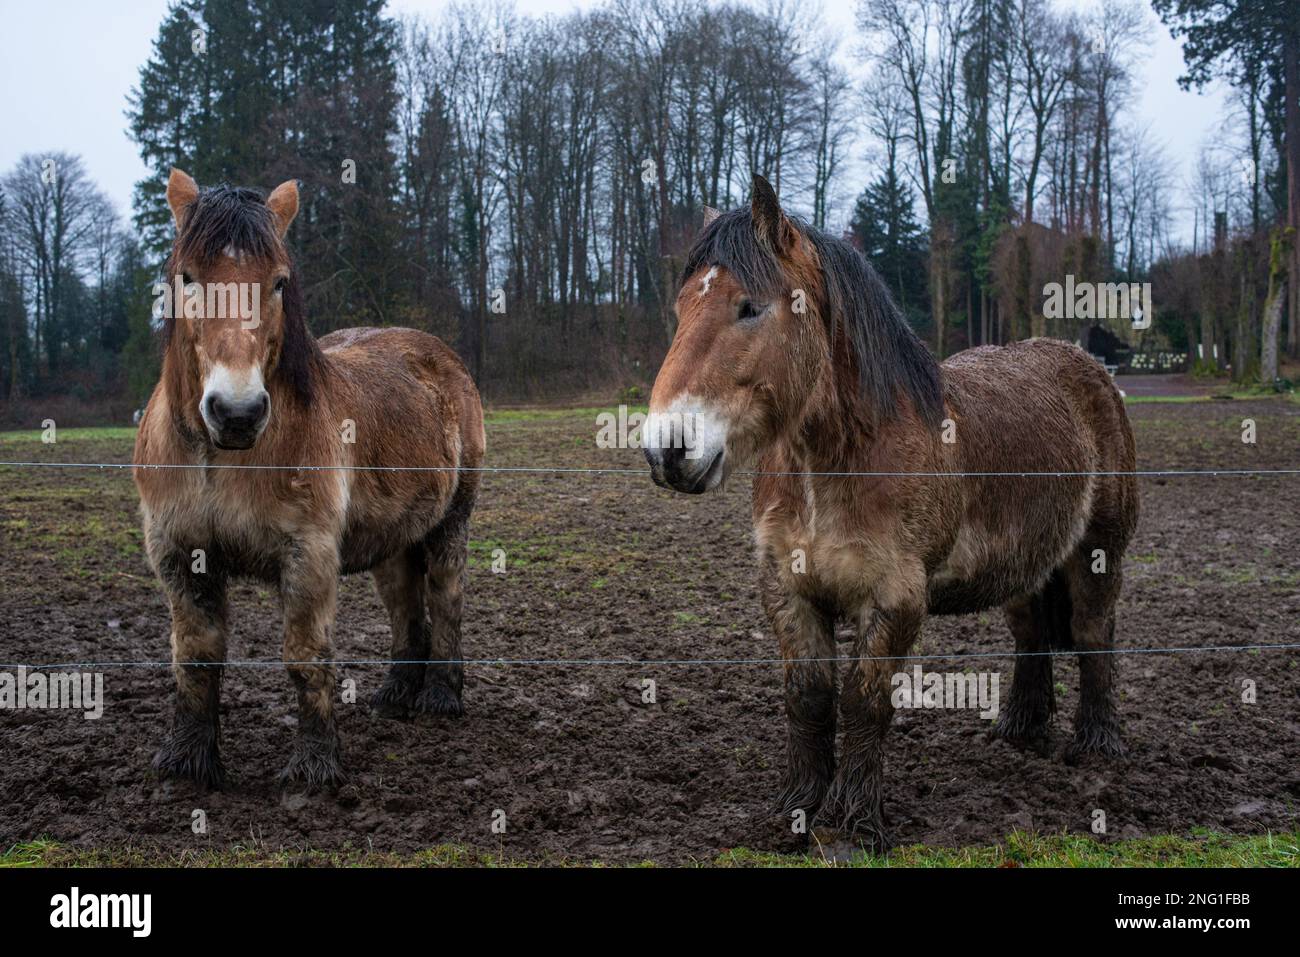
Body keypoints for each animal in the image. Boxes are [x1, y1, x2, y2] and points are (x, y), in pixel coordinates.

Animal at [132, 169, 485, 790]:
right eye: (187, 277)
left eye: (278, 283)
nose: (237, 412)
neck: (219, 459)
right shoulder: (178, 555)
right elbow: (195, 656)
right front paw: (188, 762)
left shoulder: (309, 554)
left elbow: (305, 656)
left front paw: (315, 767)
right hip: (393, 541)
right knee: (404, 606)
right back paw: (395, 695)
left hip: (450, 524)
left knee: (445, 598)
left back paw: (440, 697)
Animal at [643, 175, 1138, 850]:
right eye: (680, 310)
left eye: (750, 307)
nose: (666, 448)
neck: (837, 461)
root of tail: (1091, 370)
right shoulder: (787, 590)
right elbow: (809, 697)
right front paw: (797, 810)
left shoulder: (895, 598)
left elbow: (864, 701)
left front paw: (854, 824)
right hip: (1025, 565)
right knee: (1032, 634)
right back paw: (1019, 732)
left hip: (1098, 554)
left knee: (1093, 635)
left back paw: (1097, 744)